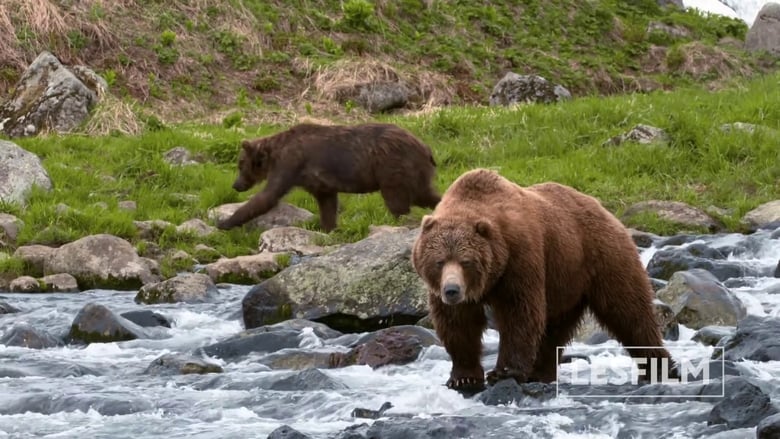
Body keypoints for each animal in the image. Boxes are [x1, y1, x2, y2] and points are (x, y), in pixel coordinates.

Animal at [216, 122, 442, 234]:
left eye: (240, 164)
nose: (236, 185)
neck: (274, 153)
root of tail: (425, 146)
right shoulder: (318, 181)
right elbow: (327, 203)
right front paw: (328, 228)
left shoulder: (290, 162)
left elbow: (268, 196)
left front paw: (225, 222)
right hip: (415, 171)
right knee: (425, 194)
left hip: (393, 166)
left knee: (397, 199)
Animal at [414, 169, 676, 396]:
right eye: (439, 261)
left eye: (466, 261)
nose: (452, 290)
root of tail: (603, 208)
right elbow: (458, 323)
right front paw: (464, 377)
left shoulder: (519, 259)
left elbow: (519, 314)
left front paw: (503, 372)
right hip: (566, 282)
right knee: (555, 329)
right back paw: (541, 373)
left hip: (602, 258)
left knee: (629, 312)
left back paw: (661, 369)